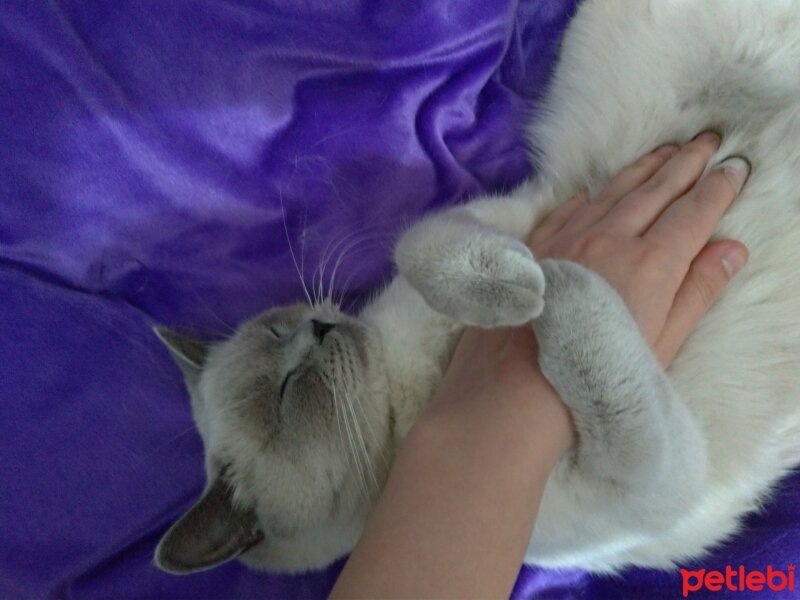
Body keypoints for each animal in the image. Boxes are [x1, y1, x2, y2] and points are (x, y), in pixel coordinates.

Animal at [148, 0, 800, 576]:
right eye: (285, 393)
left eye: (281, 330)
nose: (320, 326)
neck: (406, 386)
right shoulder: (651, 480)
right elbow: (587, 331)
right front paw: (548, 286)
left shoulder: (505, 215)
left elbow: (418, 246)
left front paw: (520, 286)